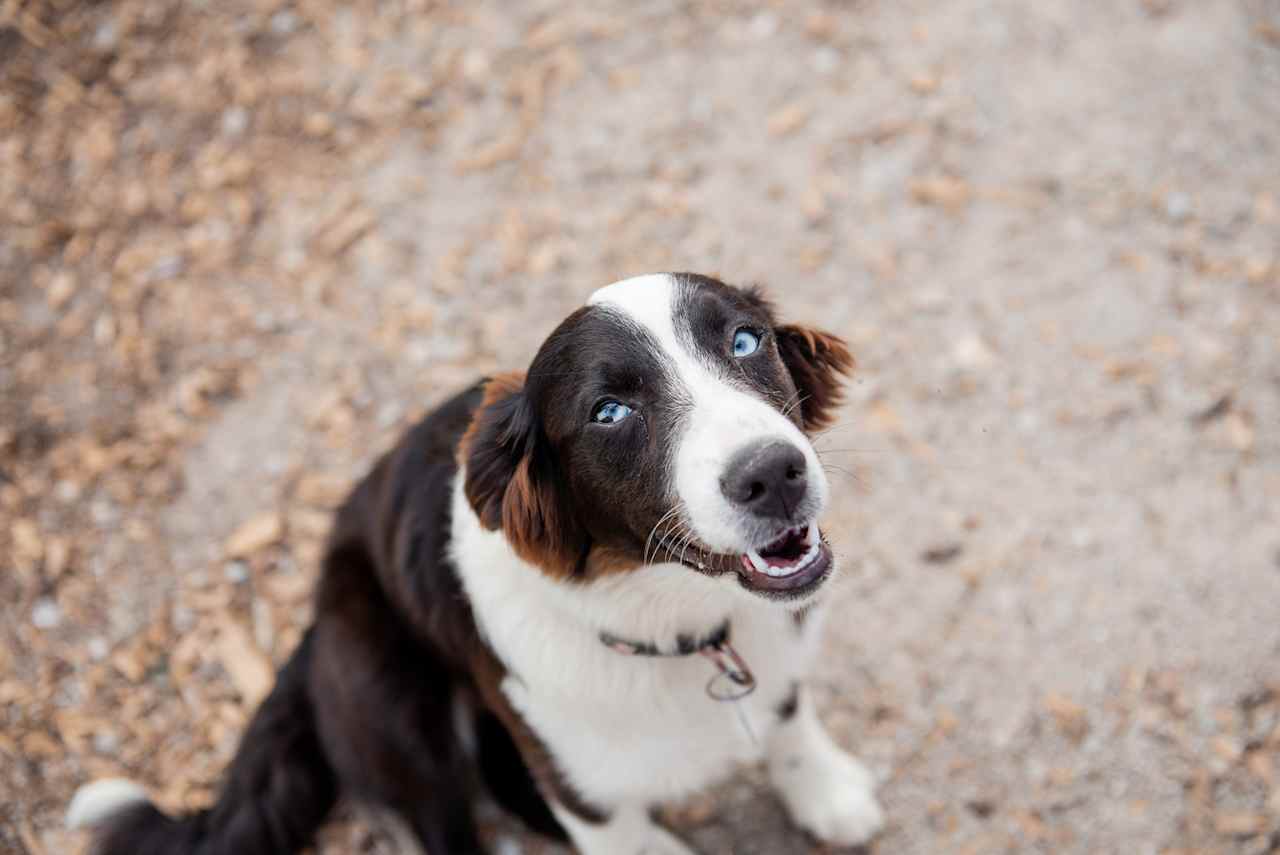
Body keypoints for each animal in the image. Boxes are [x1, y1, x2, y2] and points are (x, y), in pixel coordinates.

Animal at [70, 273, 885, 855]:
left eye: (745, 341)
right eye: (610, 413)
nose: (773, 473)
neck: (676, 627)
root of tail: (312, 627)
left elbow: (789, 718)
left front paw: (825, 794)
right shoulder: (574, 781)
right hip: (399, 714)